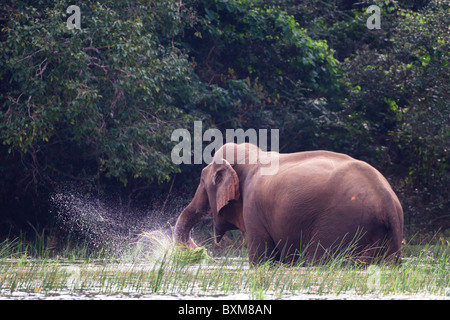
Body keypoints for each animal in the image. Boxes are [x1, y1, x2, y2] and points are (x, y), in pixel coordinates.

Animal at [173, 142, 404, 264]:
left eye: (202, 180)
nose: (200, 251)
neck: (252, 156)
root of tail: (389, 204)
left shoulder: (254, 208)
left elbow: (262, 259)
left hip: (341, 224)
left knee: (319, 260)